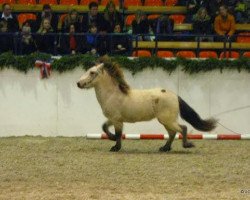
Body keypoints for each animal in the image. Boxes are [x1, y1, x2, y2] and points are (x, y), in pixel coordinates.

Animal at [77, 56, 218, 152]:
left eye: (92, 72)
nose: (78, 83)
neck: (112, 94)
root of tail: (174, 95)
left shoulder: (117, 120)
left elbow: (117, 133)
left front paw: (115, 147)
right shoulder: (114, 119)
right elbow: (104, 127)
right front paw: (112, 139)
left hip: (167, 119)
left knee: (182, 129)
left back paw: (187, 145)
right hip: (165, 121)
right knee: (172, 133)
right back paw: (165, 148)